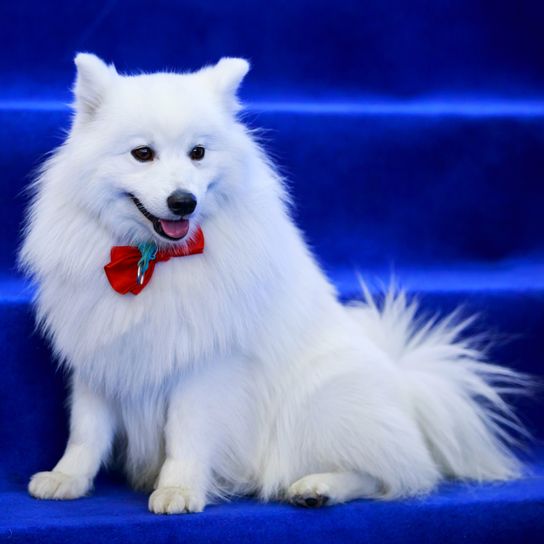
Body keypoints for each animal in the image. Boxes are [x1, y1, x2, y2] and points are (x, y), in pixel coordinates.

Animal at [20, 54, 528, 516]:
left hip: (318, 404)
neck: (150, 261)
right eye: (142, 153)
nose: (184, 202)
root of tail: (405, 385)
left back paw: (318, 487)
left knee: (390, 475)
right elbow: (86, 430)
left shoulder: (204, 367)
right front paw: (67, 479)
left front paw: (179, 490)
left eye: (198, 152)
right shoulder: (97, 354)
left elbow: (186, 434)